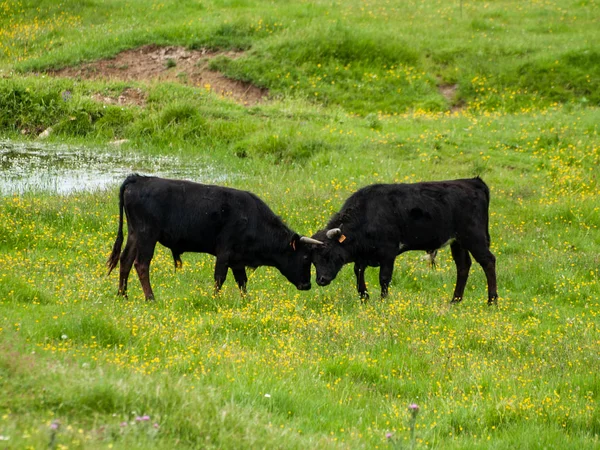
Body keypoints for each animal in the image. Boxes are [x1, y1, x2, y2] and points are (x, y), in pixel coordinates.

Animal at [107, 175, 324, 298]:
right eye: (306, 257)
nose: (307, 285)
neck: (252, 218)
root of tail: (138, 178)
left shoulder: (238, 260)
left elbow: (242, 282)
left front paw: (247, 302)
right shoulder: (224, 253)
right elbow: (219, 279)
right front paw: (216, 300)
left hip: (134, 234)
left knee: (125, 261)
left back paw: (122, 296)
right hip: (147, 235)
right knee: (141, 264)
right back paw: (150, 297)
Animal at [312, 178, 500, 304]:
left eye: (328, 253)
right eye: (313, 260)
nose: (320, 280)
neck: (367, 214)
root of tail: (472, 182)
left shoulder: (388, 252)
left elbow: (384, 278)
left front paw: (383, 300)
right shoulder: (363, 255)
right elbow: (358, 272)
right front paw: (364, 297)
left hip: (474, 237)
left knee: (488, 261)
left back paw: (492, 301)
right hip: (458, 242)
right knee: (463, 266)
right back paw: (455, 300)